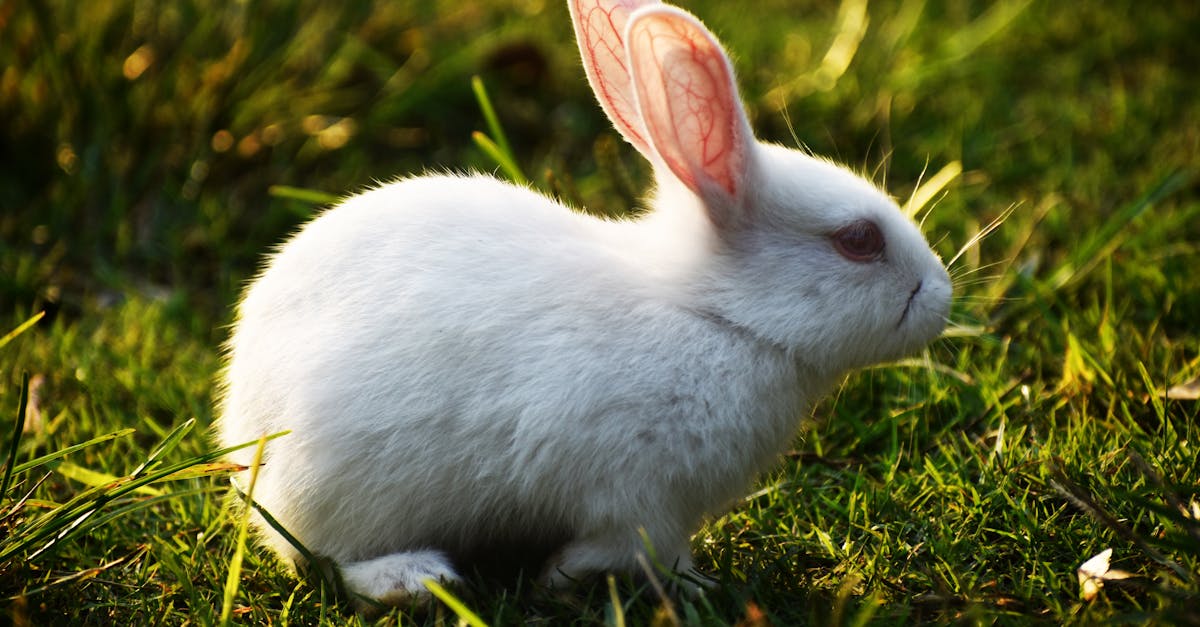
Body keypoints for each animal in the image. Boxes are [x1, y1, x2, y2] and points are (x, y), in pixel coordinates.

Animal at [216, 0, 953, 610]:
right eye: (859, 240)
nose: (943, 296)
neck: (716, 315)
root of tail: (242, 423)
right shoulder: (641, 497)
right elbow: (636, 549)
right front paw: (640, 581)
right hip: (339, 487)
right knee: (324, 556)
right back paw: (416, 579)